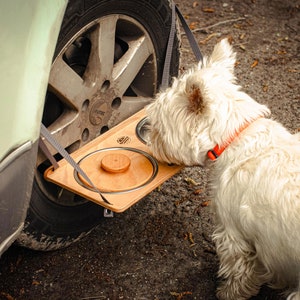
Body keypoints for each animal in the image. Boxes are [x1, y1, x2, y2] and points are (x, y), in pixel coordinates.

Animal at [145, 38, 298, 298]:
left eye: (158, 126)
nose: (147, 138)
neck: (236, 138)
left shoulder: (233, 234)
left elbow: (239, 273)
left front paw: (227, 293)